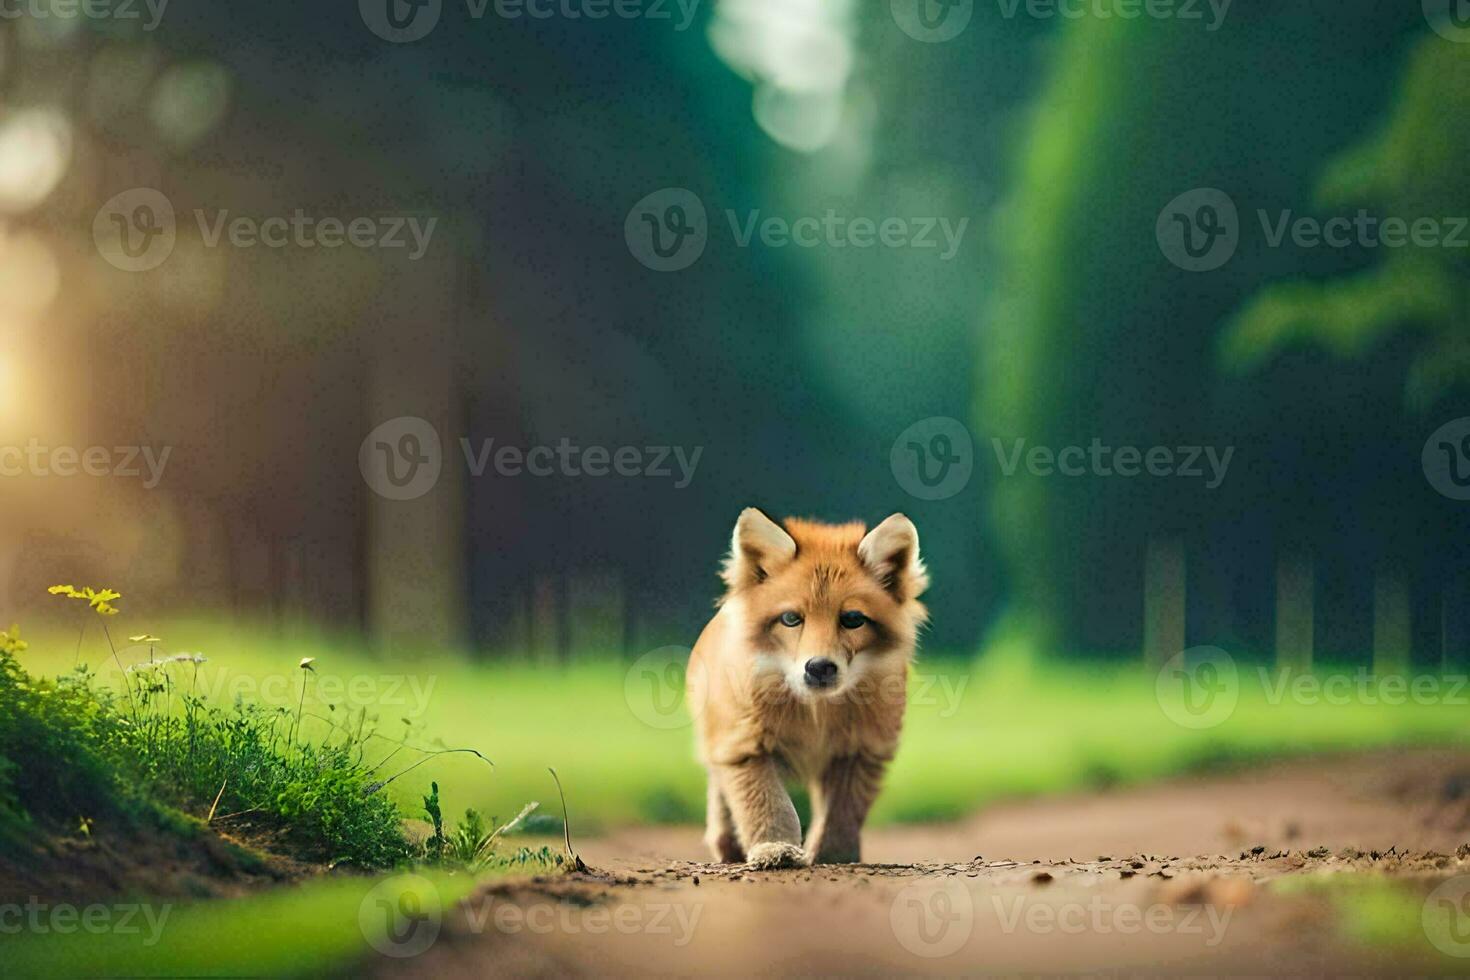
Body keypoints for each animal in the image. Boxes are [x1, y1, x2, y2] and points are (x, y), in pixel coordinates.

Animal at [687, 511, 929, 869]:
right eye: (791, 618)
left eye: (852, 619)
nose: (818, 667)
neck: (816, 715)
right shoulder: (746, 747)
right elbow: (770, 806)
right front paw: (775, 848)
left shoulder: (862, 750)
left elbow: (842, 814)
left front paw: (834, 855)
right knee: (719, 793)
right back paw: (727, 845)